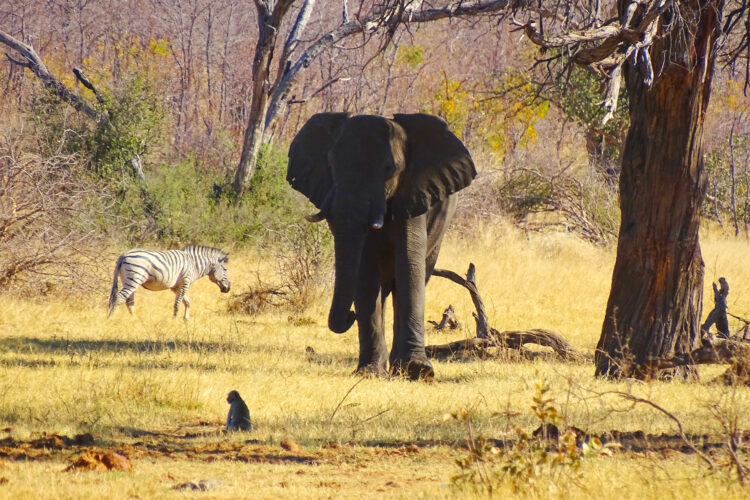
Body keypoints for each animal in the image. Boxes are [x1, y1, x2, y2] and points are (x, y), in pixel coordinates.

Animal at [288, 112, 476, 378]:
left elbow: (409, 265)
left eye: (389, 168)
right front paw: (369, 373)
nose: (350, 315)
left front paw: (418, 370)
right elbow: (366, 273)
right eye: (331, 165)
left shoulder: (414, 194)